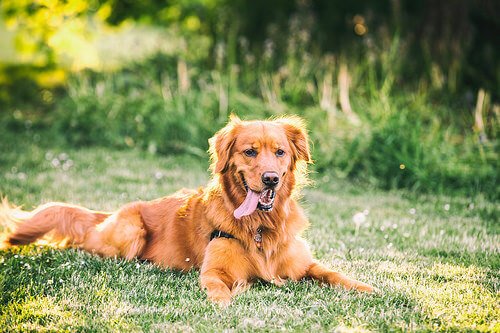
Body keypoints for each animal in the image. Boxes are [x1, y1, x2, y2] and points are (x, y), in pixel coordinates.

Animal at [0, 116, 376, 304]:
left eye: (280, 152)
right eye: (250, 151)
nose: (270, 179)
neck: (259, 226)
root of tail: (110, 212)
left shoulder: (304, 264)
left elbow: (332, 273)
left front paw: (365, 287)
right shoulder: (213, 272)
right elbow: (220, 290)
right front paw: (225, 305)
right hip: (129, 234)